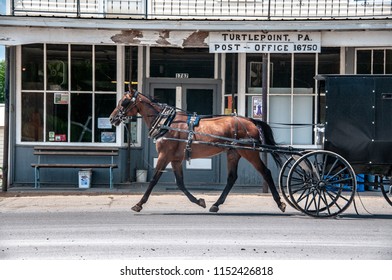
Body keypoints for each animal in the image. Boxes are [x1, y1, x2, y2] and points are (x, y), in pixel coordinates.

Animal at [108, 91, 286, 213]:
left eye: (124, 102)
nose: (111, 118)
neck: (167, 122)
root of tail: (250, 121)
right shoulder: (175, 159)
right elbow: (180, 183)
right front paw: (200, 201)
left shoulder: (164, 156)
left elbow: (153, 180)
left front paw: (139, 204)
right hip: (233, 153)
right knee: (231, 178)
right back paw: (216, 205)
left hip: (249, 152)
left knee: (266, 172)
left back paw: (280, 203)